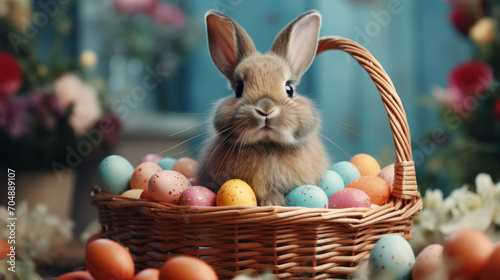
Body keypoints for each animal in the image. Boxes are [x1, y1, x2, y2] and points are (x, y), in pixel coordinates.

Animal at [196, 9, 332, 206]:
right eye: (239, 88)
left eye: (289, 89)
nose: (265, 109)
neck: (267, 145)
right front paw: (272, 202)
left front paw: (273, 202)